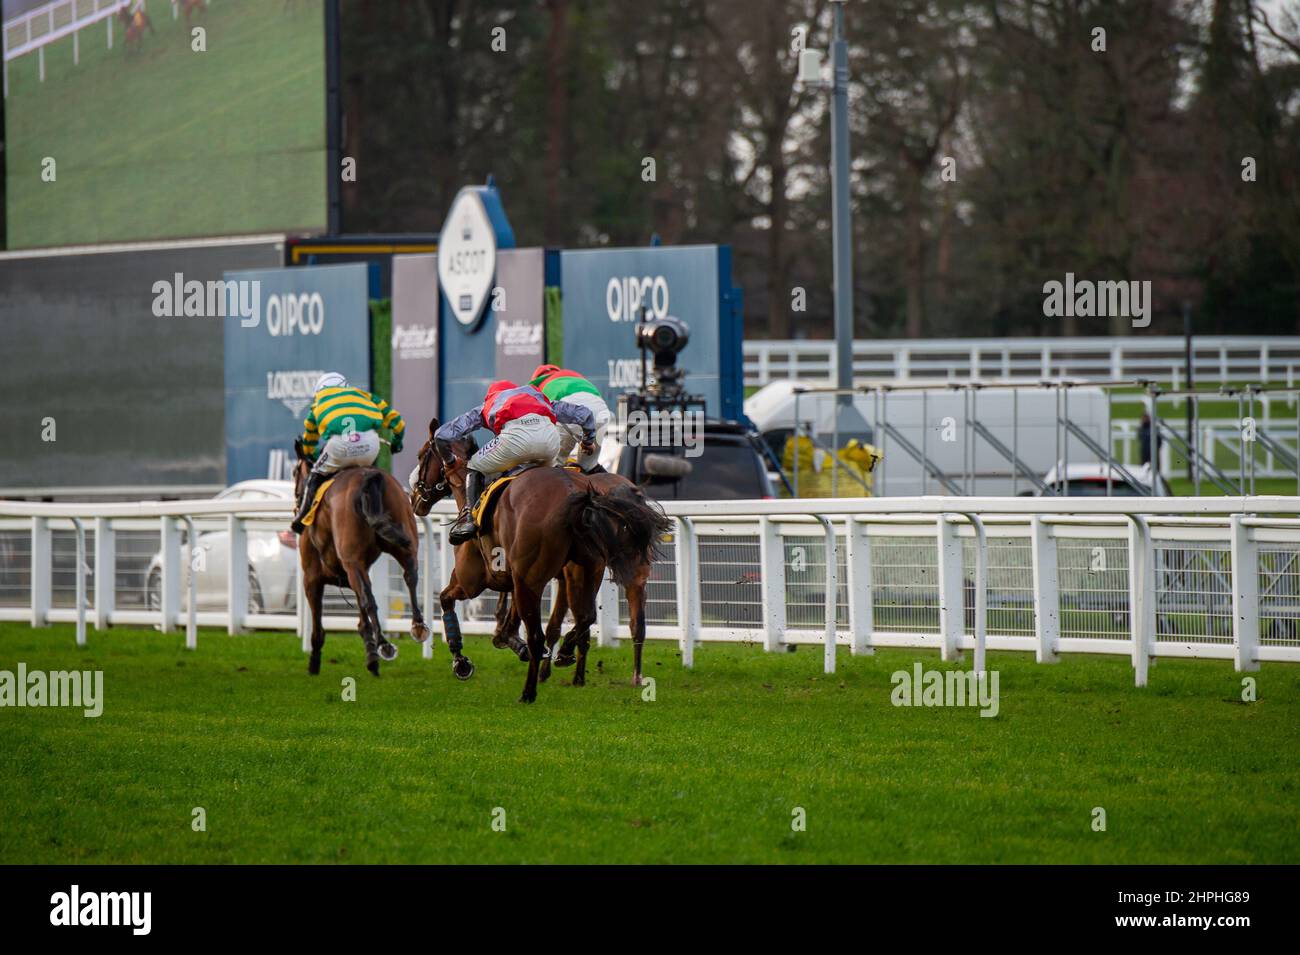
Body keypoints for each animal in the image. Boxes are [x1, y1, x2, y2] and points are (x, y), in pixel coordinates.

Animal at [292, 441, 428, 680]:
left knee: (370, 599)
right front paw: (371, 658)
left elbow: (319, 626)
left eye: (293, 473)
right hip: (405, 541)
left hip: (351, 560)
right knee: (410, 576)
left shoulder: (312, 578)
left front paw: (314, 662)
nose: (296, 507)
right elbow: (362, 619)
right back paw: (417, 625)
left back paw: (385, 644)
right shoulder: (354, 574)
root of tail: (370, 477)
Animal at [408, 418, 670, 701]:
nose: (414, 499)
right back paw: (624, 674)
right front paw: (516, 644)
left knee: (544, 632)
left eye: (421, 455)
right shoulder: (522, 579)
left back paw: (531, 689)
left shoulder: (472, 582)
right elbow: (516, 623)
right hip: (608, 569)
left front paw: (461, 661)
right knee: (617, 621)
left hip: (554, 575)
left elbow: (448, 600)